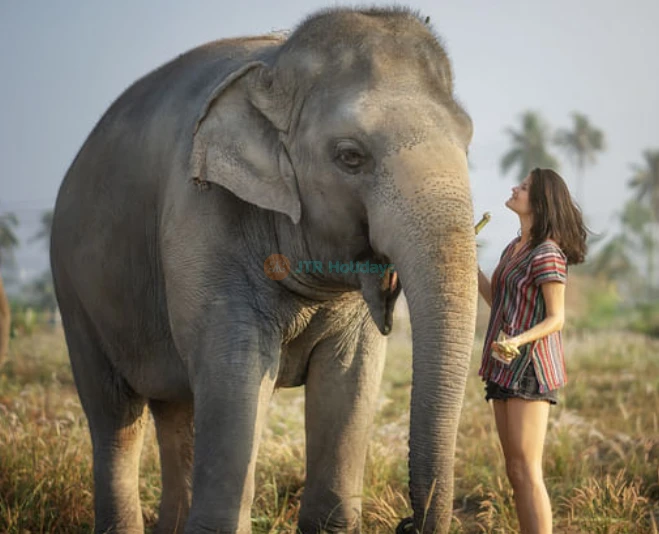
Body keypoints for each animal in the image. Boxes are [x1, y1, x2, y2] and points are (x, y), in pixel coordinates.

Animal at [50, 6, 477, 534]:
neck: (274, 66)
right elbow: (237, 371)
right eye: (350, 156)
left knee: (177, 409)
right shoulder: (202, 218)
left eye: (468, 142)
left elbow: (350, 377)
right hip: (74, 292)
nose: (405, 522)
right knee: (114, 416)